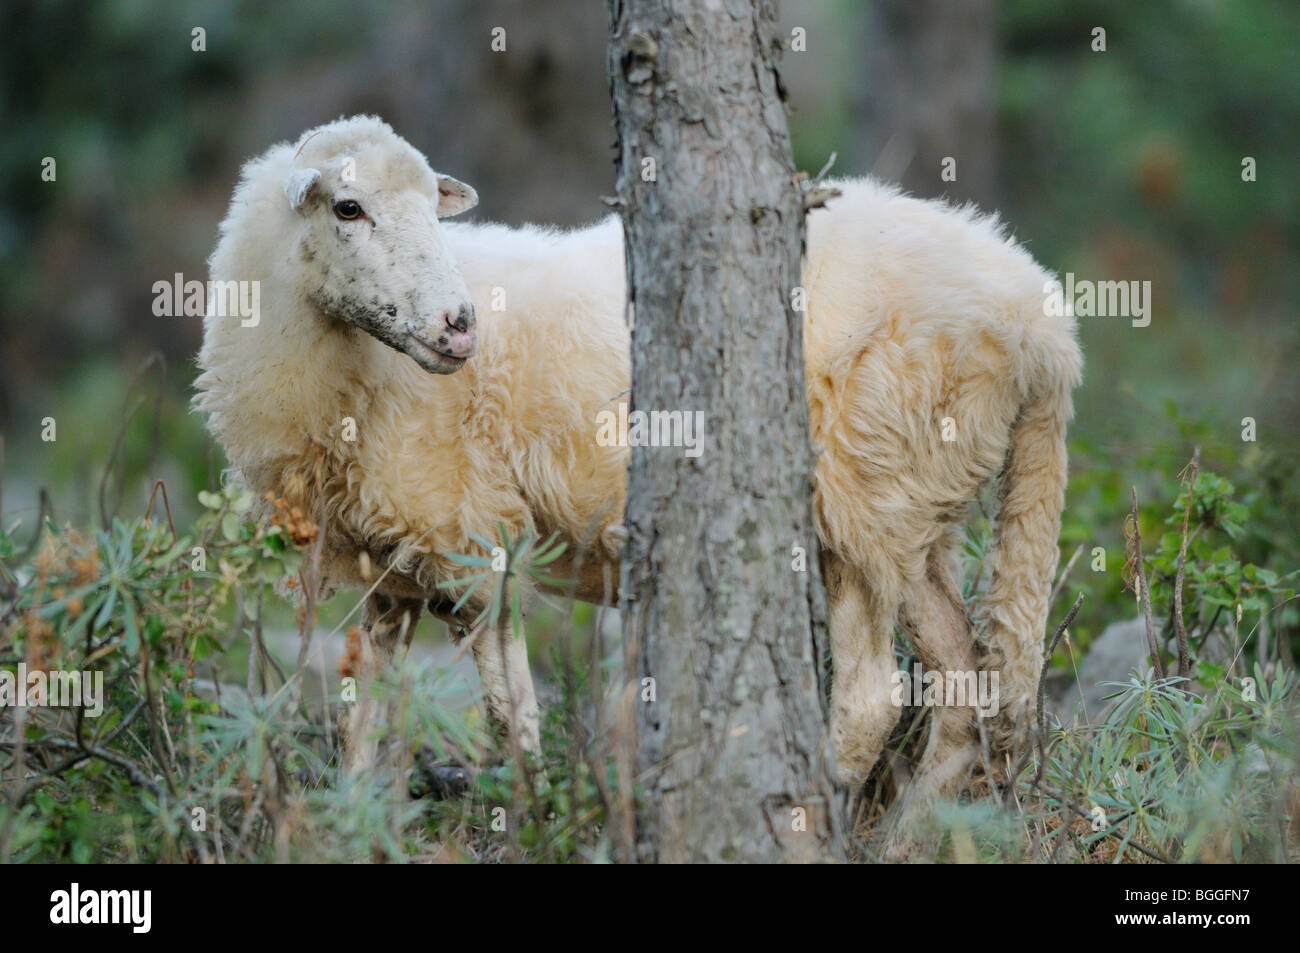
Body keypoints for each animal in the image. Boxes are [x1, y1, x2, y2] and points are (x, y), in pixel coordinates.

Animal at [195, 115, 1086, 806]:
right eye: (348, 208)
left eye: (432, 211)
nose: (458, 326)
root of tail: (1039, 317)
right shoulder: (396, 557)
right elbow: (368, 721)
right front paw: (353, 816)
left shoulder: (471, 532)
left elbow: (510, 714)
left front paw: (534, 815)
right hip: (916, 509)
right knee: (966, 683)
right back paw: (917, 831)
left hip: (863, 490)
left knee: (873, 700)